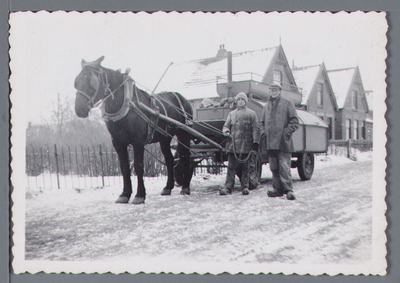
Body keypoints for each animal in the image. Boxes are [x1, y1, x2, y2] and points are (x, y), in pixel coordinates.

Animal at [76, 57, 195, 204]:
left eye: (91, 82)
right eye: (77, 82)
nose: (79, 109)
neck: (126, 106)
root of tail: (182, 98)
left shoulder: (138, 141)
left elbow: (138, 167)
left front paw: (139, 195)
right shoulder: (118, 143)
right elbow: (124, 168)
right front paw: (125, 194)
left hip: (184, 134)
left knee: (185, 157)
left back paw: (185, 187)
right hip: (165, 138)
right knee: (169, 160)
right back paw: (168, 187)